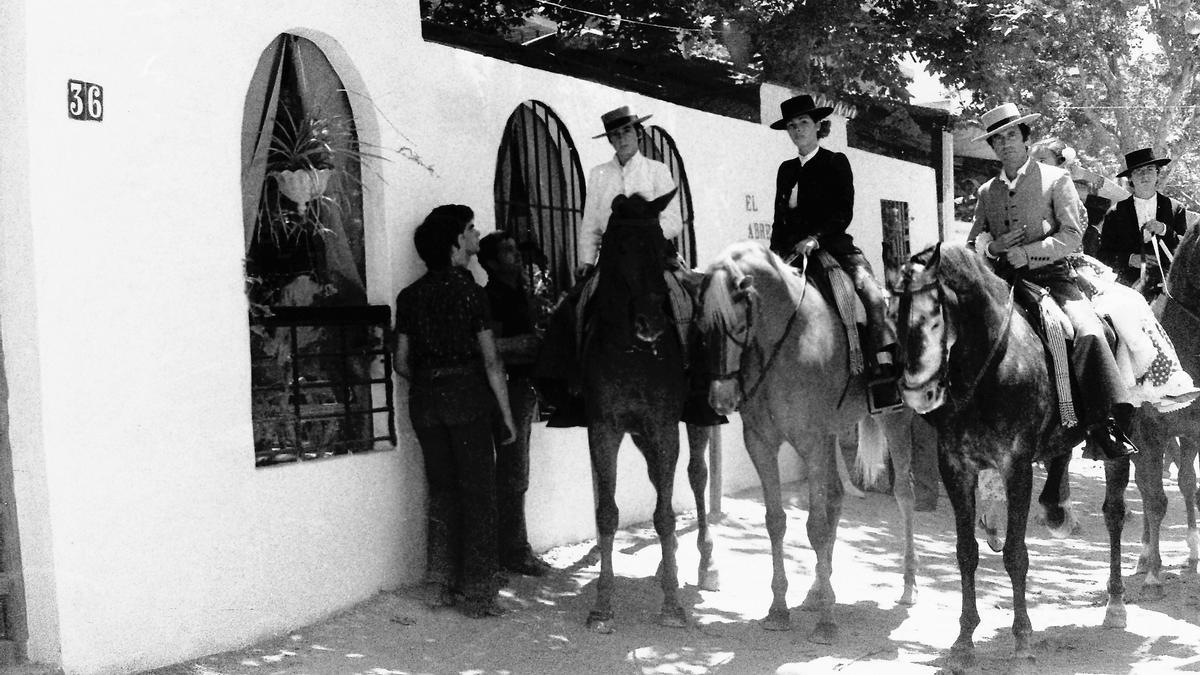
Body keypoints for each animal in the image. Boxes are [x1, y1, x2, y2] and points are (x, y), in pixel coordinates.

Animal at [580, 190, 720, 629]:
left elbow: (666, 514)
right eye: (622, 248)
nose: (652, 322)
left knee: (696, 476)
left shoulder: (663, 425)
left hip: (693, 420)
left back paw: (706, 564)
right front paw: (603, 604)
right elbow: (607, 513)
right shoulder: (603, 428)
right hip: (641, 433)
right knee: (661, 481)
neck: (630, 351)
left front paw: (672, 603)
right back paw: (666, 562)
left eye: (662, 248)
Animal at [897, 242, 1128, 667]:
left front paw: (1022, 639)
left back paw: (1116, 604)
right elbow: (966, 552)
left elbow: (1015, 555)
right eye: (895, 310)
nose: (917, 391)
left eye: (934, 317)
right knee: (1060, 463)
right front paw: (964, 639)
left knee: (1114, 513)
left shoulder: (1016, 467)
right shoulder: (955, 468)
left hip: (1120, 446)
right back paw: (1056, 512)